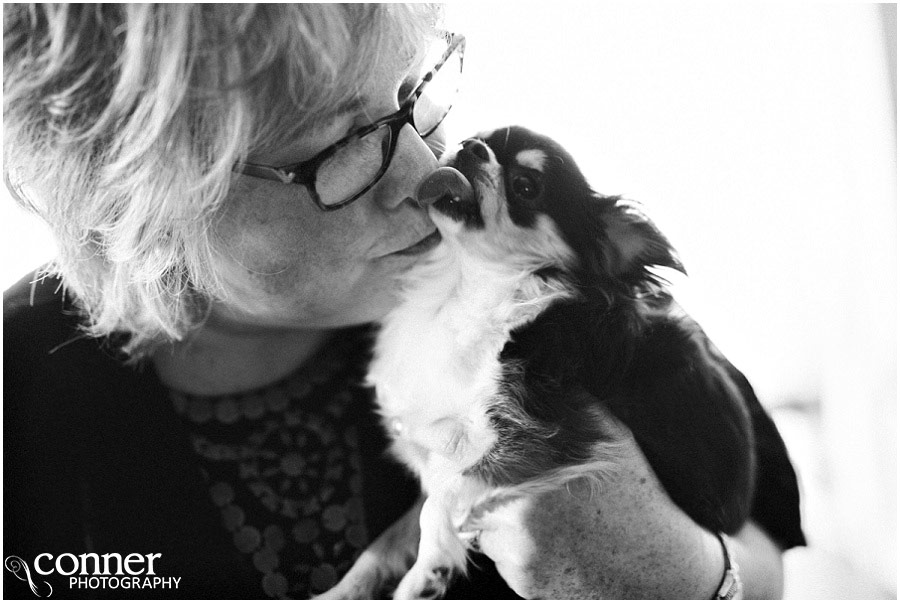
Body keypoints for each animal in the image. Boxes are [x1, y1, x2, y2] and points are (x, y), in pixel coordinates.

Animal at [320, 126, 756, 600]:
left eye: (525, 187)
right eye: (475, 137)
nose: (471, 147)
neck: (462, 285)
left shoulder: (543, 440)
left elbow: (440, 499)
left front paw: (426, 572)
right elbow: (390, 539)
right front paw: (341, 590)